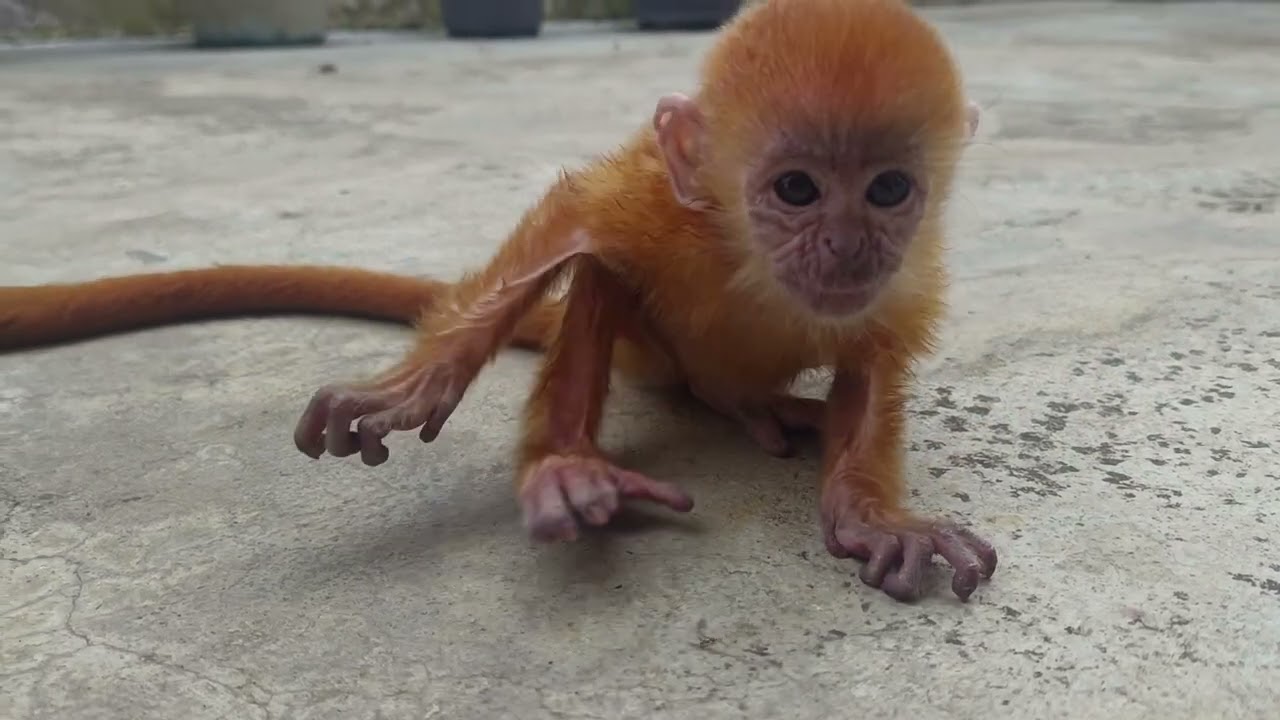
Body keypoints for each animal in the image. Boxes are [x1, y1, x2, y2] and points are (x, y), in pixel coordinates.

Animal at [0, 0, 996, 602]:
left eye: (888, 190)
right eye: (796, 189)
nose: (850, 246)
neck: (755, 260)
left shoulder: (905, 274)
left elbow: (876, 354)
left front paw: (871, 515)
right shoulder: (668, 203)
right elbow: (577, 226)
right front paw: (410, 392)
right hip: (654, 355)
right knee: (604, 278)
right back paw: (570, 464)